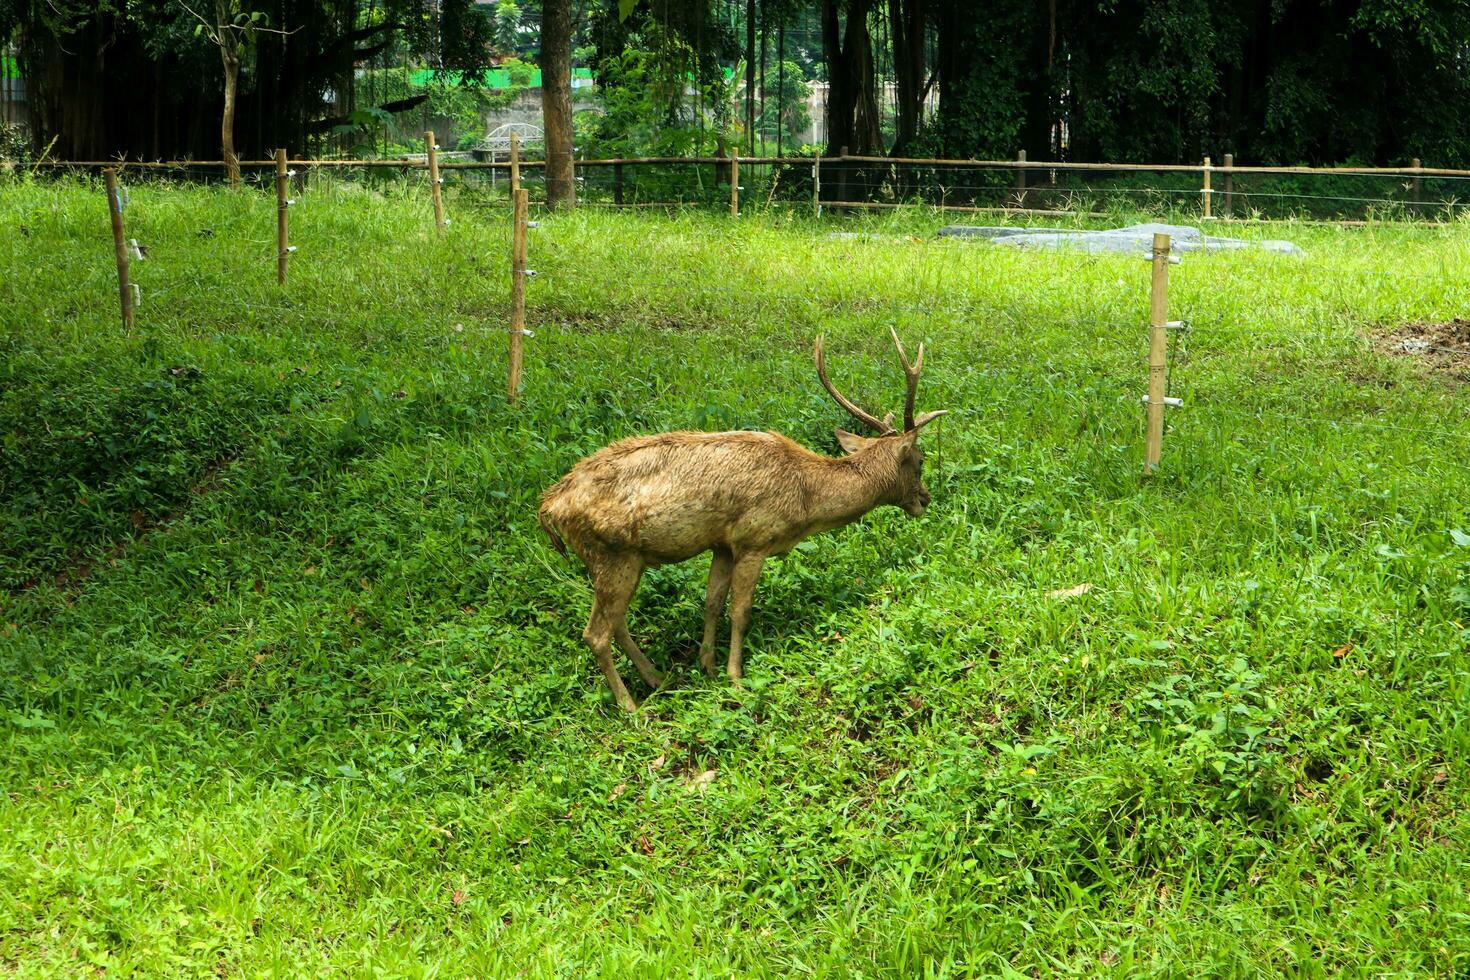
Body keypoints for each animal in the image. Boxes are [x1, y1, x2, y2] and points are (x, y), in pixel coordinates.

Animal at [538, 332, 940, 714]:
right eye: (920, 460)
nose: (925, 499)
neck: (805, 497)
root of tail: (550, 507)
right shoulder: (754, 538)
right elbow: (740, 611)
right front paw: (735, 676)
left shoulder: (722, 544)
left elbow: (712, 602)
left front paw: (708, 665)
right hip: (610, 553)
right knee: (596, 633)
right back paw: (631, 706)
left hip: (619, 561)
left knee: (616, 621)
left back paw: (656, 676)